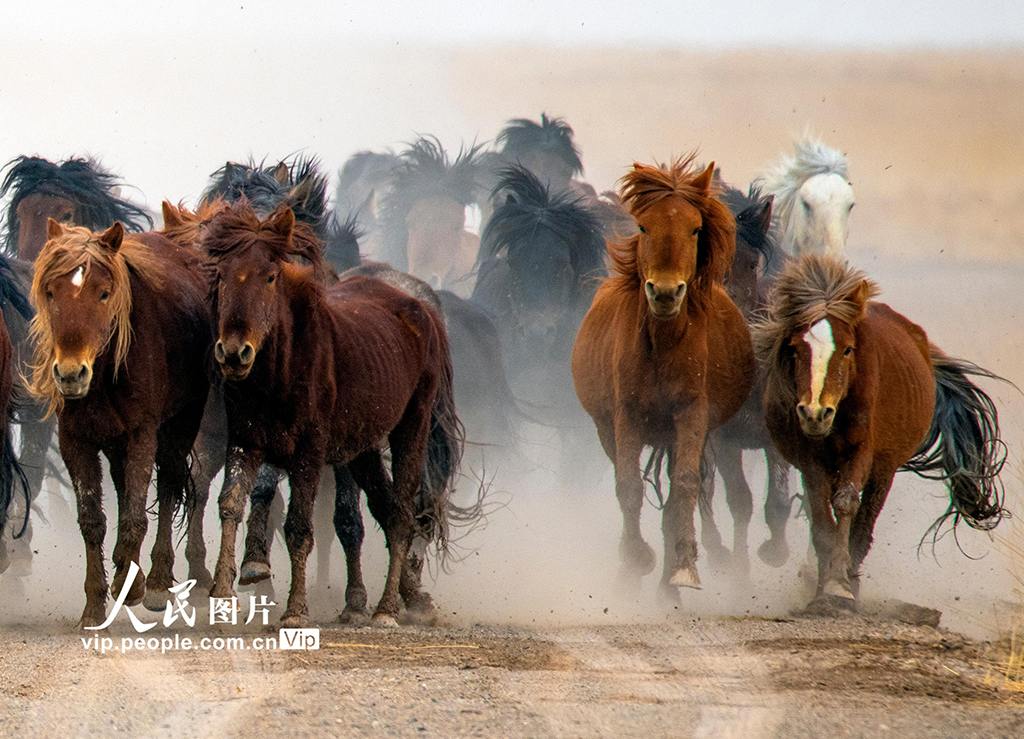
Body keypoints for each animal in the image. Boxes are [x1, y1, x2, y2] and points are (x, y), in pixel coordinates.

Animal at [28, 220, 211, 626]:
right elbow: (92, 518)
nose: (70, 374)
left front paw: (135, 587)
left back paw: (156, 582)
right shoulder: (75, 440)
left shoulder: (143, 433)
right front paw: (95, 606)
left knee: (170, 483)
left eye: (103, 293)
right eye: (50, 291)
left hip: (181, 423)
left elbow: (134, 515)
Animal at [204, 200, 464, 627]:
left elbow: (299, 527)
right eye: (222, 274)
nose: (233, 352)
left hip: (412, 426)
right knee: (387, 508)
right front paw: (224, 594)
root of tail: (422, 309)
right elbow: (231, 504)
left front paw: (296, 610)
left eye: (271, 276)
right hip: (363, 446)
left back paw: (387, 608)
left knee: (404, 512)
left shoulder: (308, 454)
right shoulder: (245, 442)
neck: (283, 369)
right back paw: (400, 597)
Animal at [571, 156, 755, 594]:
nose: (666, 293)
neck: (662, 345)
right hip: (610, 429)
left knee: (675, 495)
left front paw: (684, 565)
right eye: (642, 226)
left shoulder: (691, 414)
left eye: (695, 228)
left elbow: (685, 486)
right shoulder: (626, 416)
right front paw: (635, 559)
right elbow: (628, 486)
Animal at [755, 255, 1007, 609]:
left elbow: (847, 504)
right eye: (794, 348)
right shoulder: (810, 461)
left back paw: (852, 578)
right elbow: (821, 520)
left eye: (848, 349)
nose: (815, 413)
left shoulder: (862, 451)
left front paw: (839, 584)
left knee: (865, 520)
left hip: (884, 469)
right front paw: (824, 585)